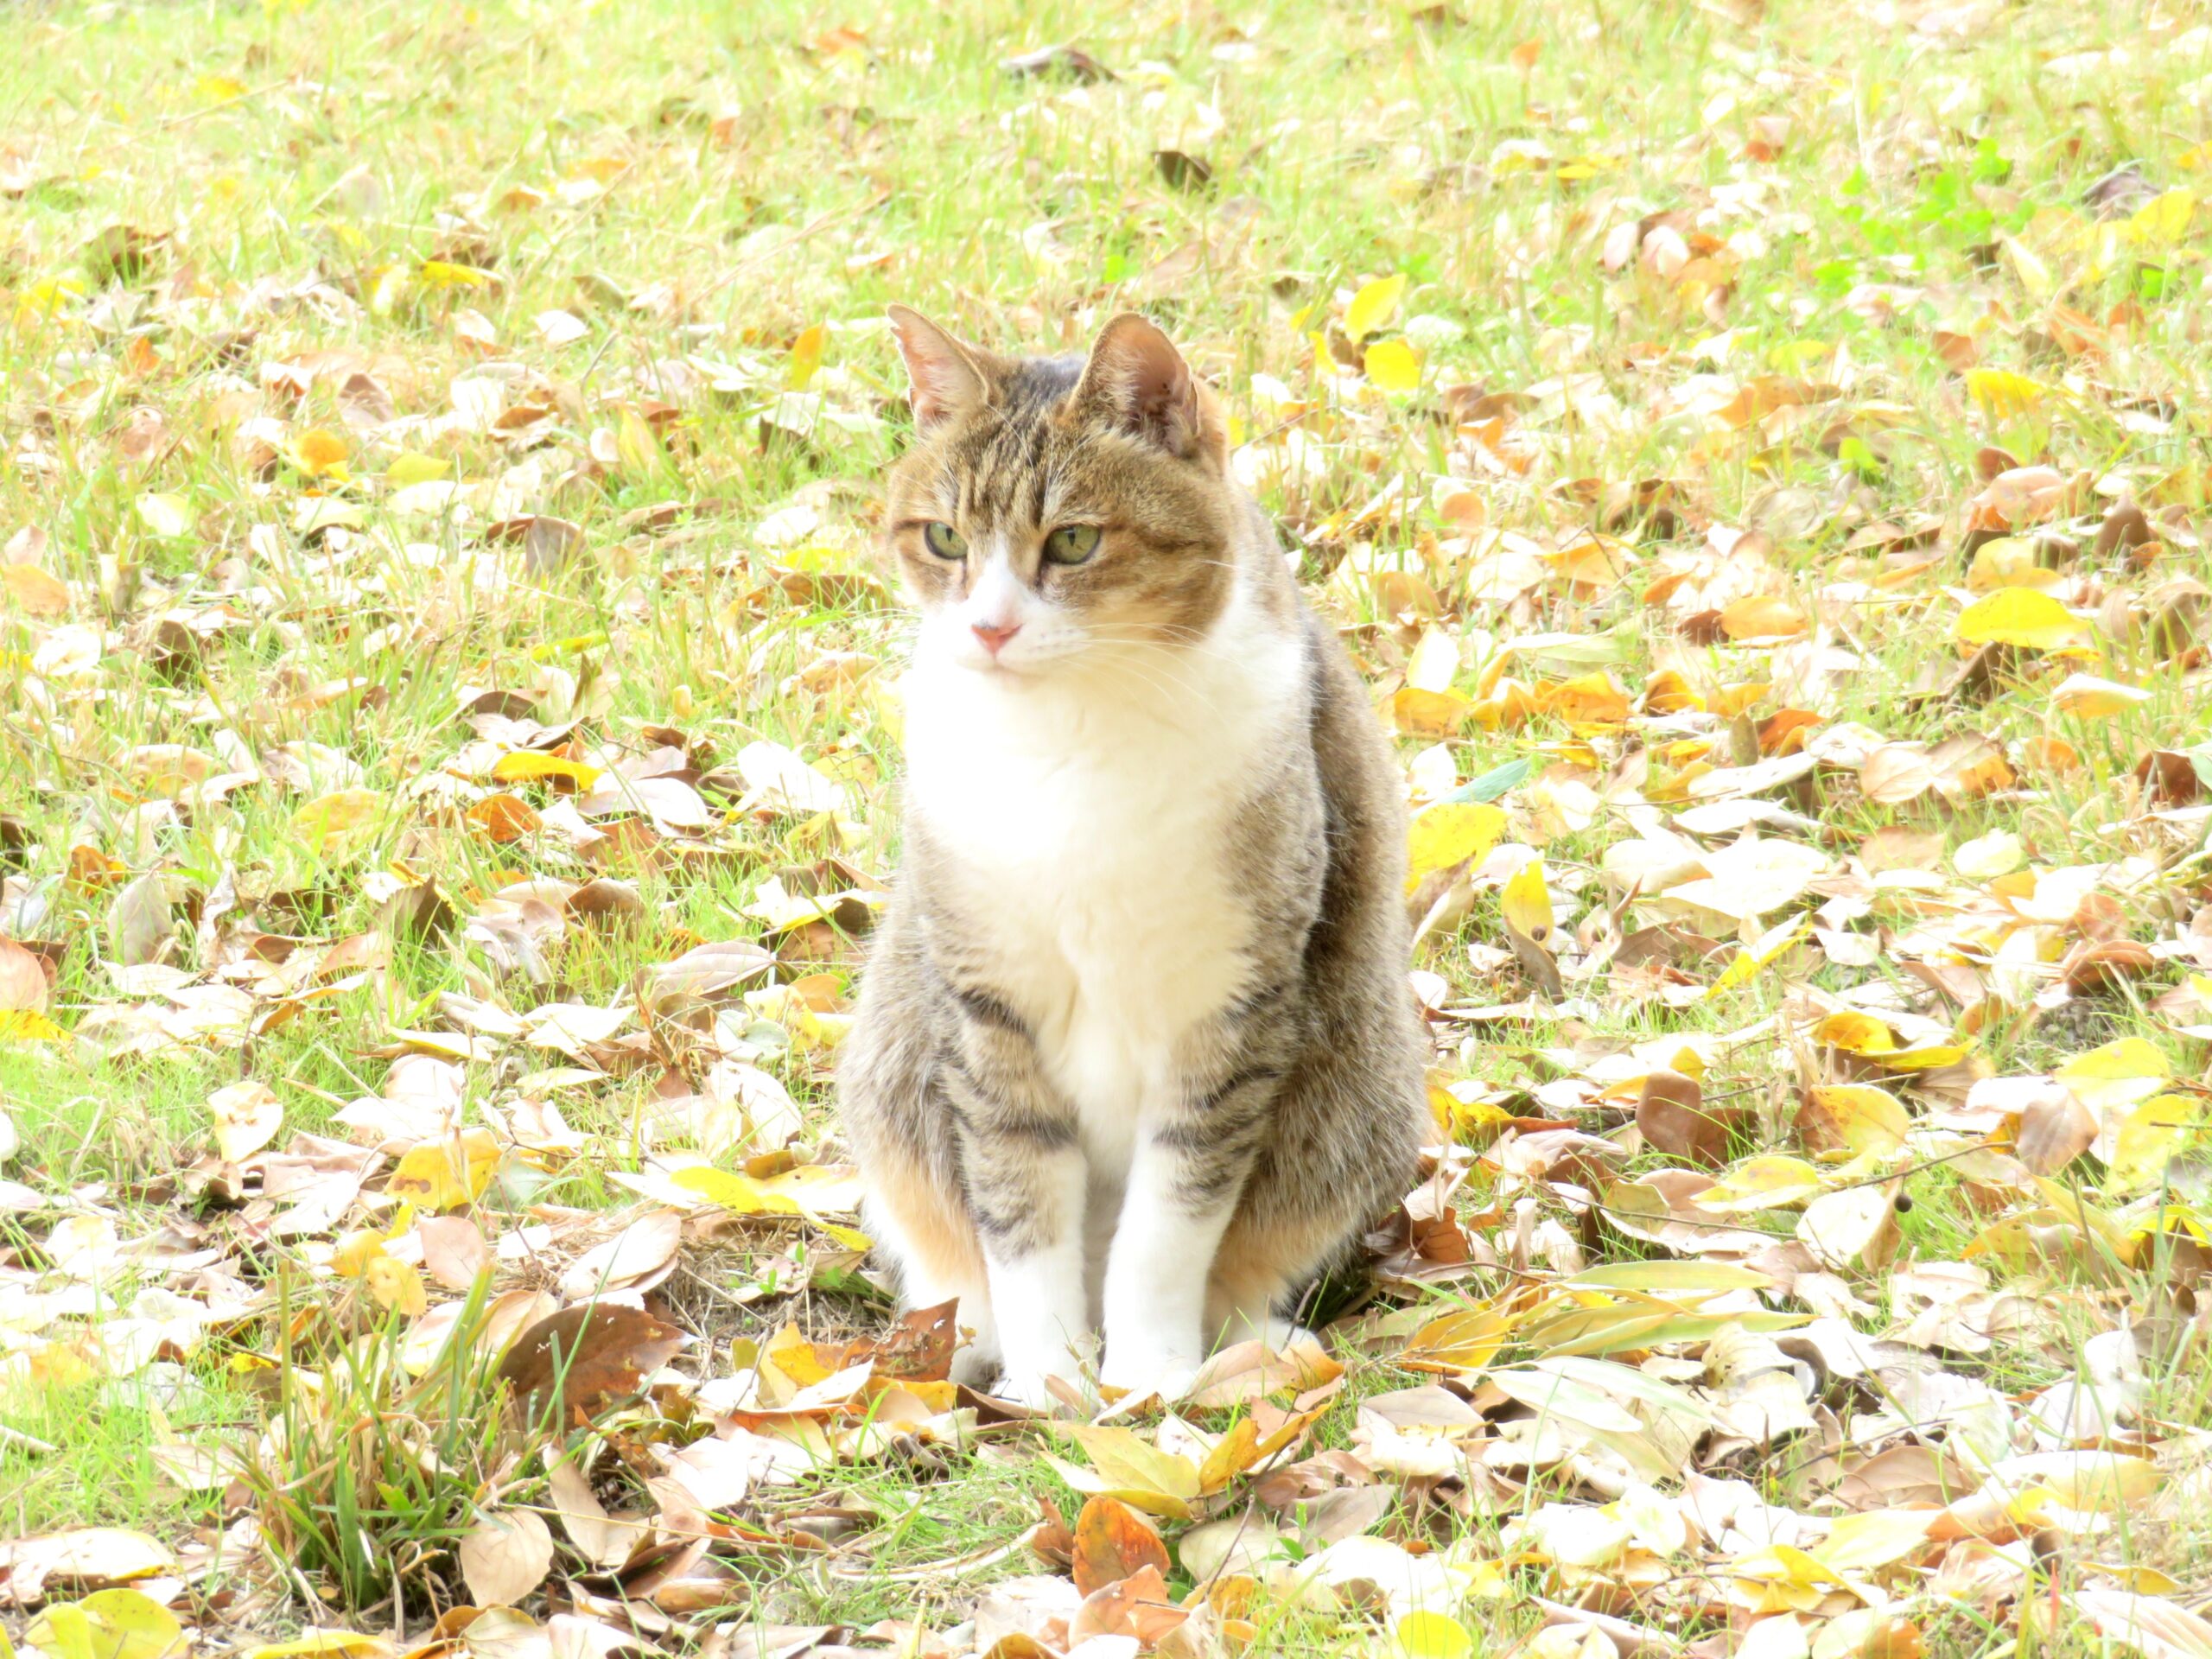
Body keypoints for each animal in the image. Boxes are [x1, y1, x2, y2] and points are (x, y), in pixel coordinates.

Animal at [831, 305, 1433, 1407]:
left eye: (1072, 541)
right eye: (943, 537)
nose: (987, 628)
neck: (1067, 729)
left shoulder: (1230, 1004)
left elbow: (1170, 1221)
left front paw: (1147, 1376)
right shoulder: (988, 1005)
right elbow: (1019, 1210)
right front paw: (1052, 1382)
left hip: (1357, 1093)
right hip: (895, 1074)